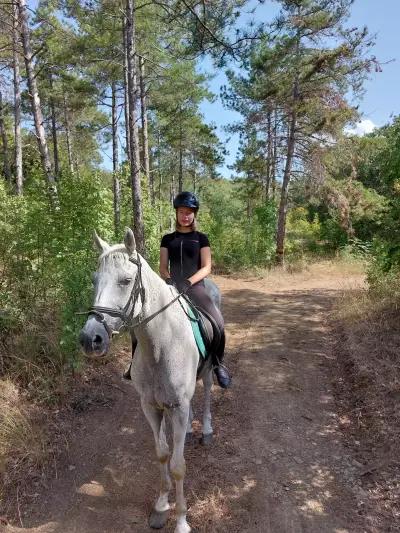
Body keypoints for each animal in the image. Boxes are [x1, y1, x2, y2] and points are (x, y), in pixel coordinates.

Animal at [79, 227, 222, 528]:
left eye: (126, 280)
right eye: (95, 280)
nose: (90, 339)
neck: (161, 343)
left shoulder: (178, 405)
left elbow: (178, 466)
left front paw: (181, 521)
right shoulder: (150, 405)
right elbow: (162, 454)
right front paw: (161, 505)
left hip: (206, 373)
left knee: (205, 394)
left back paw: (205, 429)